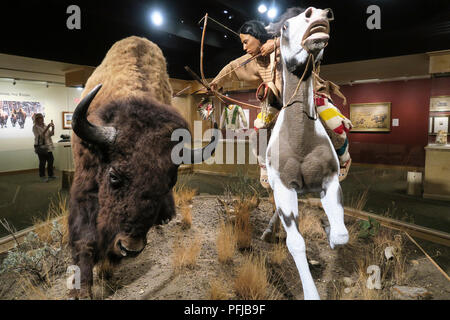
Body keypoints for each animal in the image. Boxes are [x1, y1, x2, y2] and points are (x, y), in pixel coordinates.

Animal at [68, 36, 218, 298]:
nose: (130, 248)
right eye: (114, 177)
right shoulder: (85, 186)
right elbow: (85, 237)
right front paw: (83, 289)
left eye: (169, 182)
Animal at [266, 6, 350, 300]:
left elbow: (341, 235)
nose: (317, 14)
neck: (300, 143)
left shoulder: (330, 182)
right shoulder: (284, 189)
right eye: (283, 27)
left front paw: (331, 233)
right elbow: (296, 243)